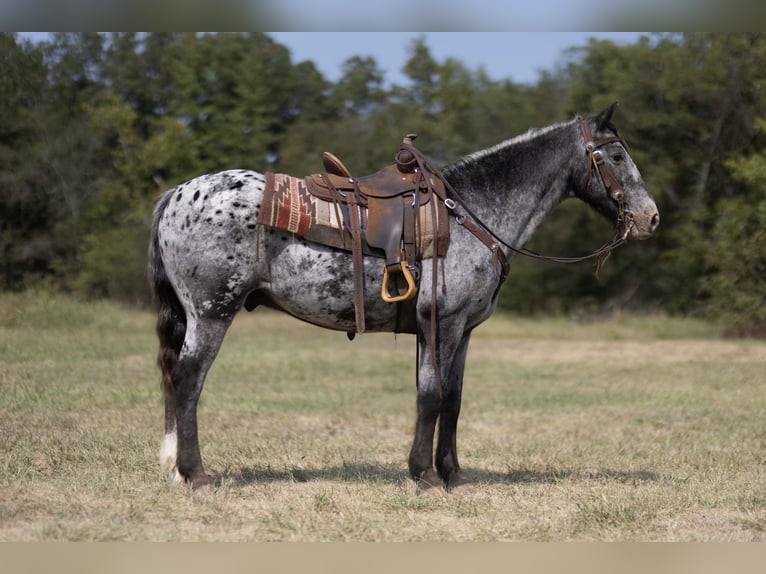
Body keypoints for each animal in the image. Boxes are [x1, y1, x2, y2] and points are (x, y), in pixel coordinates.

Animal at [148, 101, 660, 492]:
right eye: (616, 155)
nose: (650, 217)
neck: (471, 211)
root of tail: (176, 194)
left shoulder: (460, 332)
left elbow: (452, 400)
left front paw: (453, 475)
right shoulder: (443, 324)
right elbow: (432, 396)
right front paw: (425, 476)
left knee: (175, 378)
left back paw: (175, 468)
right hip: (212, 313)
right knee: (189, 379)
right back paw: (195, 474)